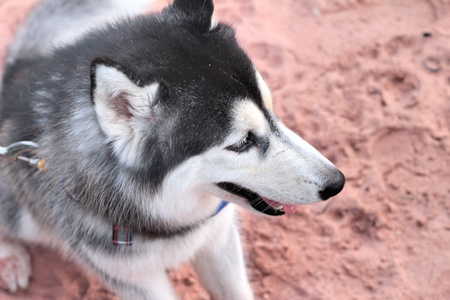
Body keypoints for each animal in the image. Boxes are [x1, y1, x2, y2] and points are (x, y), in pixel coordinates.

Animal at [0, 0, 344, 298]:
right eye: (241, 142)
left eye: (273, 112)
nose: (337, 183)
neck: (165, 213)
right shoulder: (132, 278)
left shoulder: (218, 240)